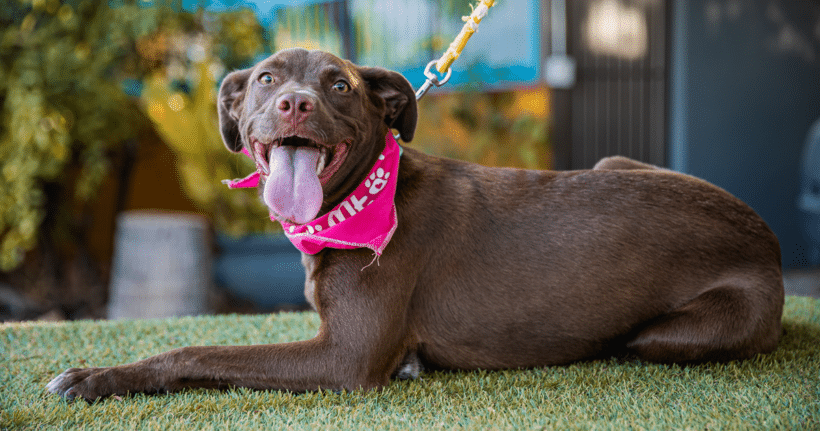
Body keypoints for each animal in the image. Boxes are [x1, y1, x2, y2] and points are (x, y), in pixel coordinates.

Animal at [48, 49, 784, 402]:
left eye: (340, 86)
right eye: (264, 80)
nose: (294, 103)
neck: (356, 201)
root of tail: (769, 236)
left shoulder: (343, 357)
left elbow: (199, 351)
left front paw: (98, 377)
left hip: (675, 332)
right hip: (616, 162)